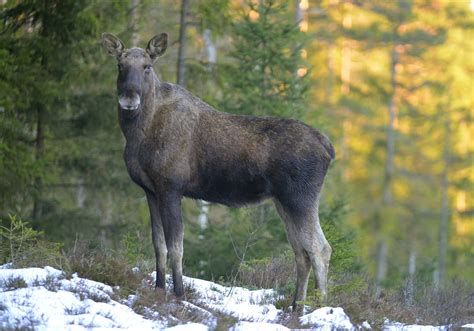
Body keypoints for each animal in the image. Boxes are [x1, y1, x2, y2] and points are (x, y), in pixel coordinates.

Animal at [102, 32, 336, 310]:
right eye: (120, 65)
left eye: (147, 66)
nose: (129, 98)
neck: (138, 133)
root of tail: (328, 148)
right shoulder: (151, 190)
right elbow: (159, 245)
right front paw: (158, 290)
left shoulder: (171, 188)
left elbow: (176, 247)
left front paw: (179, 294)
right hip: (283, 201)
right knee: (301, 252)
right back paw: (296, 309)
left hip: (300, 198)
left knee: (320, 248)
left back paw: (319, 308)